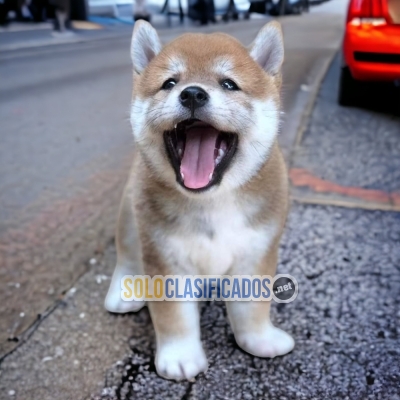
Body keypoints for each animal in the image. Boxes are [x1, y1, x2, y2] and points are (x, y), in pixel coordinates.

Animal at [105, 21, 294, 382]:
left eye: (229, 83)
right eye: (169, 82)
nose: (192, 93)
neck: (212, 202)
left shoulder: (256, 252)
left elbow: (252, 309)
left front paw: (259, 339)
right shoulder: (166, 260)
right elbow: (175, 317)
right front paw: (180, 356)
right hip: (130, 218)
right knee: (127, 255)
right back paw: (123, 291)